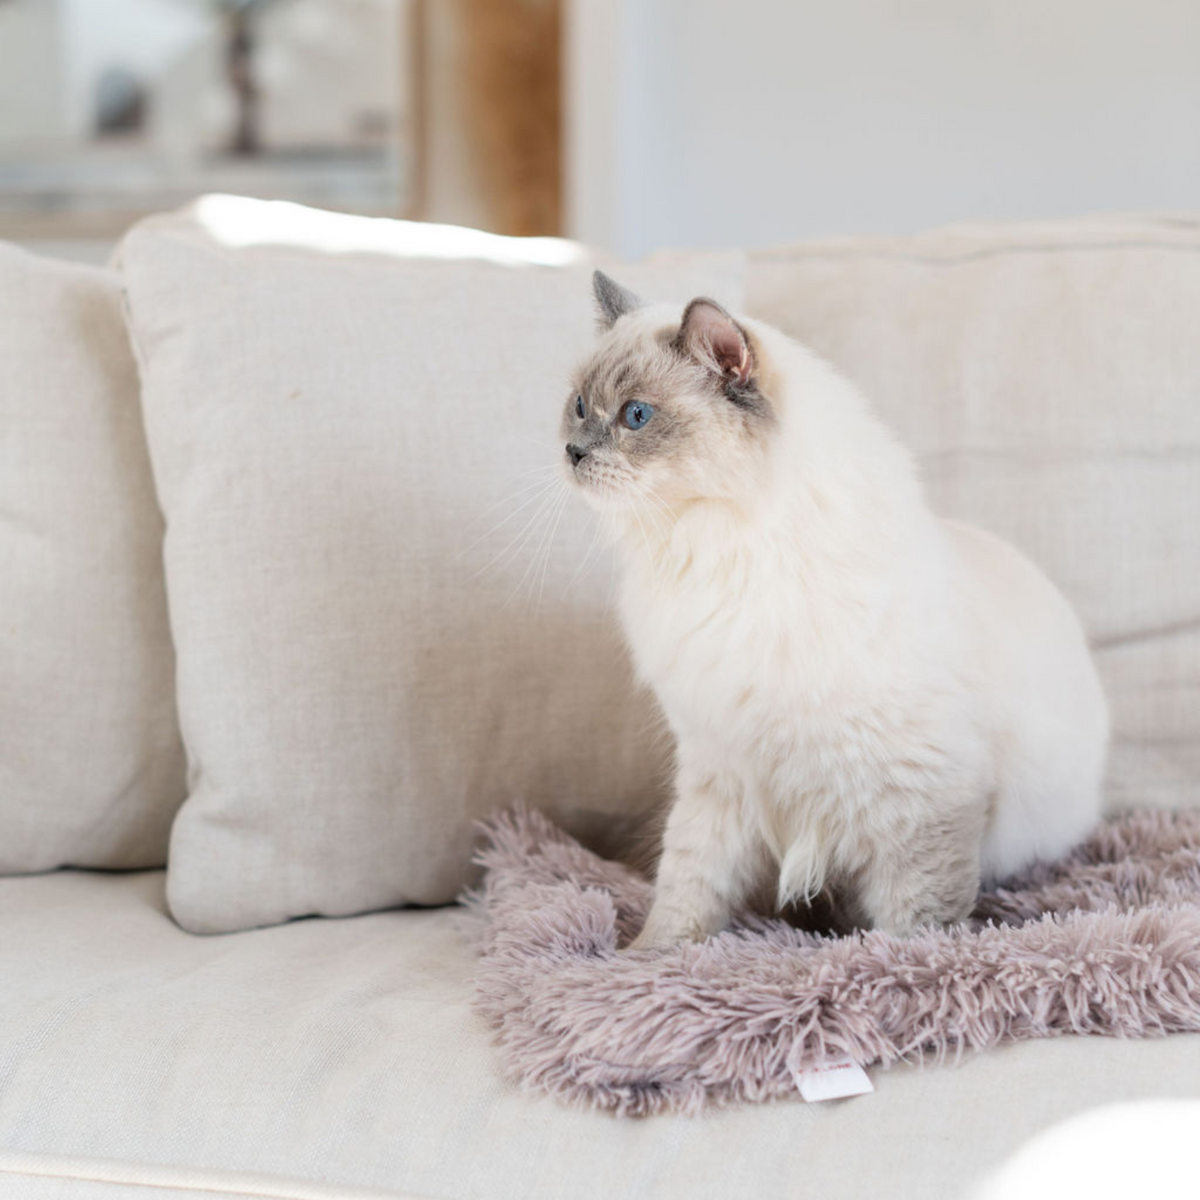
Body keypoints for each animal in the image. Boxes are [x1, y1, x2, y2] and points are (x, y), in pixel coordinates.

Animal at [559, 270, 1104, 945]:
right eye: (580, 406)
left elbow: (917, 924)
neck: (715, 553)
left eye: (636, 416)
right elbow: (687, 885)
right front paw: (651, 956)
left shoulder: (923, 797)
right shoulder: (719, 769)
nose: (573, 452)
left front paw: (897, 961)